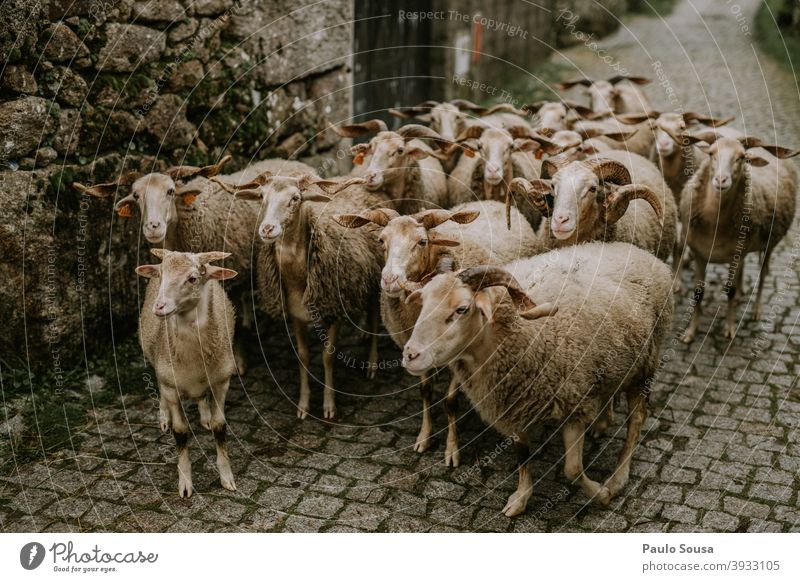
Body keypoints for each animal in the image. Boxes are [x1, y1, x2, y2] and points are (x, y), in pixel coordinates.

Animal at [134, 249, 239, 500]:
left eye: (192, 279)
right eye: (161, 274)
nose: (159, 307)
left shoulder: (222, 382)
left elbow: (220, 426)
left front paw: (226, 477)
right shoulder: (170, 386)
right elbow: (180, 432)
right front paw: (185, 483)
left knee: (202, 398)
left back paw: (204, 416)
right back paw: (164, 418)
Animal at [216, 169, 384, 420]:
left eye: (295, 198)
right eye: (261, 196)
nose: (267, 229)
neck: (299, 280)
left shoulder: (334, 309)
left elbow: (327, 356)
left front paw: (328, 405)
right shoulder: (295, 314)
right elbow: (303, 355)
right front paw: (303, 405)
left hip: (375, 281)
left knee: (374, 321)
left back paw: (372, 365)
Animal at [332, 200, 544, 466]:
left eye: (422, 241)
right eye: (381, 240)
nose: (389, 280)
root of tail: (490, 201)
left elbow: (450, 402)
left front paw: (451, 450)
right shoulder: (414, 349)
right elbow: (426, 391)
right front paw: (424, 436)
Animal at [400, 241, 676, 516]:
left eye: (462, 309)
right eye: (423, 304)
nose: (410, 355)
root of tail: (638, 251)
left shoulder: (574, 404)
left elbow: (573, 469)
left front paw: (602, 495)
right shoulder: (514, 406)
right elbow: (523, 455)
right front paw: (521, 498)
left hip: (645, 365)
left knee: (636, 421)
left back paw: (618, 478)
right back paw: (601, 423)